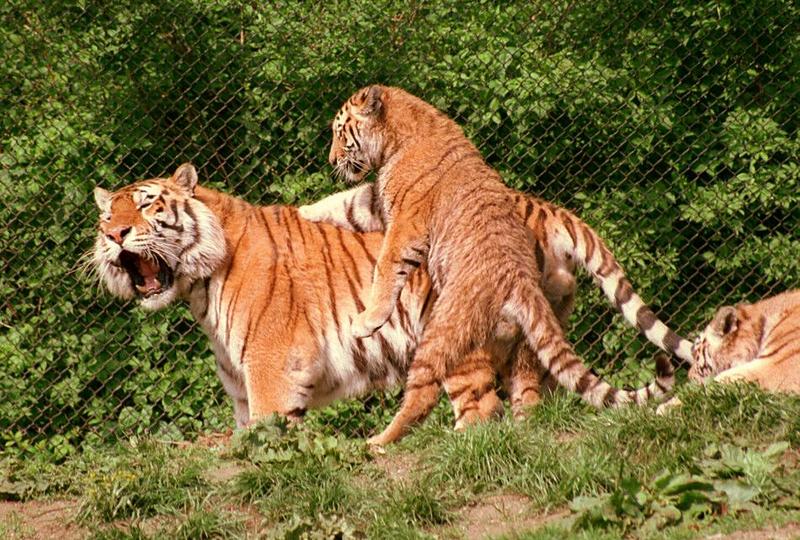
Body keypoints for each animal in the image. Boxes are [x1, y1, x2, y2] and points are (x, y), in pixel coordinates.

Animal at [92, 162, 676, 432]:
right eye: (107, 215)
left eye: (147, 206)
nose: (115, 234)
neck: (198, 288)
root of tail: (541, 206)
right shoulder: (239, 384)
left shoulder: (270, 367)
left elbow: (268, 431)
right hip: (534, 337)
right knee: (534, 399)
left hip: (458, 334)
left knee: (481, 407)